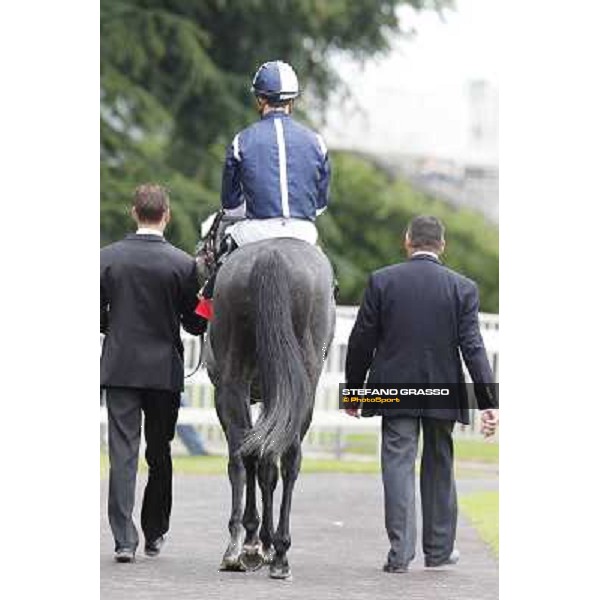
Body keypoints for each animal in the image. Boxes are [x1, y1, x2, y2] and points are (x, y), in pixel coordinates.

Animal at [204, 237, 336, 580]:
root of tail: (271, 254)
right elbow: (268, 467)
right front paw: (265, 543)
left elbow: (253, 463)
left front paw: (253, 541)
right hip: (301, 390)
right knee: (289, 459)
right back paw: (280, 554)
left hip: (234, 384)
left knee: (248, 454)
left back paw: (245, 547)